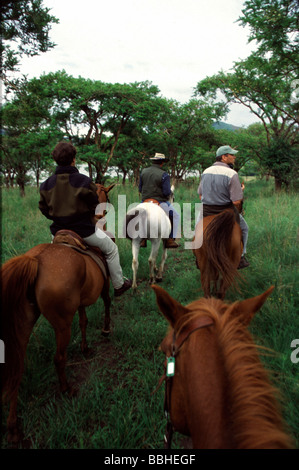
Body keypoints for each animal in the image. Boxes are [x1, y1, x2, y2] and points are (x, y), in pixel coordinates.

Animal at [0, 183, 115, 444]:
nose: (104, 212)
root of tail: (34, 259)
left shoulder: (81, 300)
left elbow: (84, 321)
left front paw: (85, 348)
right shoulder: (103, 287)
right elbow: (106, 304)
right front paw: (105, 330)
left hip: (22, 326)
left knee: (16, 369)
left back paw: (13, 428)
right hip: (62, 324)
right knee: (58, 358)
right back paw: (66, 388)